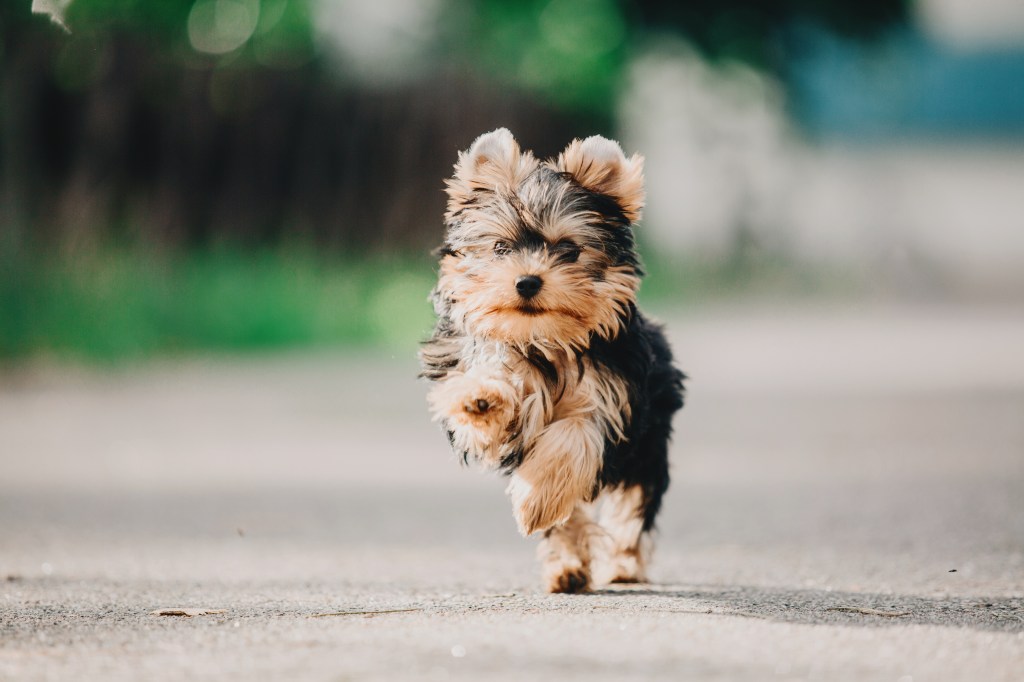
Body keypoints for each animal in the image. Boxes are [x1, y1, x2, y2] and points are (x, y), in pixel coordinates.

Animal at [419, 127, 684, 589]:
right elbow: (486, 384)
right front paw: (481, 397)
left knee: (633, 505)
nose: (527, 281)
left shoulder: (611, 399)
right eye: (500, 247)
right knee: (571, 512)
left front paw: (534, 502)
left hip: (648, 445)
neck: (545, 337)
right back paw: (567, 566)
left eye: (569, 249)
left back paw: (624, 563)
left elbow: (572, 438)